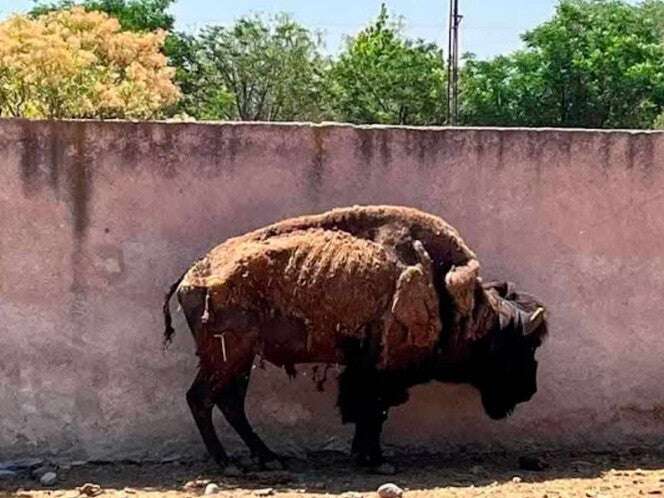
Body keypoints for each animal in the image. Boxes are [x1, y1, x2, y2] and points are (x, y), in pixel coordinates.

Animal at [163, 205, 548, 474]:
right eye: (522, 347)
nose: (530, 391)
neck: (450, 296)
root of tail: (192, 274)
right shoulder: (380, 372)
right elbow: (373, 412)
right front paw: (377, 461)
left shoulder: (367, 370)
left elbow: (369, 413)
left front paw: (366, 457)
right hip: (227, 357)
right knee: (202, 399)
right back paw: (230, 463)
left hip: (238, 361)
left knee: (229, 403)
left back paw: (268, 458)